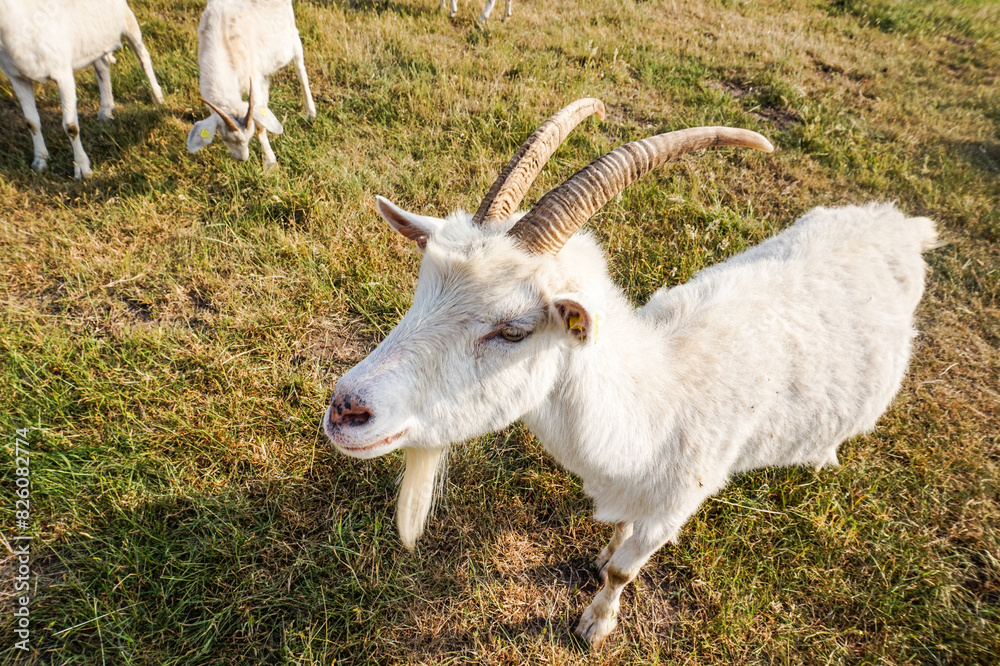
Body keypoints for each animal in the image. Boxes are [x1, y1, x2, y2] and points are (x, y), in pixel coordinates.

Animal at [0, 0, 164, 179]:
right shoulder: (17, 77)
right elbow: (31, 123)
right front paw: (40, 162)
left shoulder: (62, 73)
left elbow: (71, 127)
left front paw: (82, 169)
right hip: (94, 39)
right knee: (102, 66)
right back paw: (106, 110)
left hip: (127, 19)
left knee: (143, 58)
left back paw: (158, 97)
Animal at [186, 0, 316, 167]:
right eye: (223, 137)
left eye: (250, 135)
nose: (242, 159)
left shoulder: (252, 80)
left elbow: (261, 125)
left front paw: (270, 162)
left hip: (291, 35)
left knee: (300, 70)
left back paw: (311, 113)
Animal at [321, 98, 937, 647]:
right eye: (421, 287)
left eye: (513, 331)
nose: (346, 410)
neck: (656, 399)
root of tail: (902, 223)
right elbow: (616, 539)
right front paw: (603, 552)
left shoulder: (676, 505)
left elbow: (625, 569)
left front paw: (595, 625)